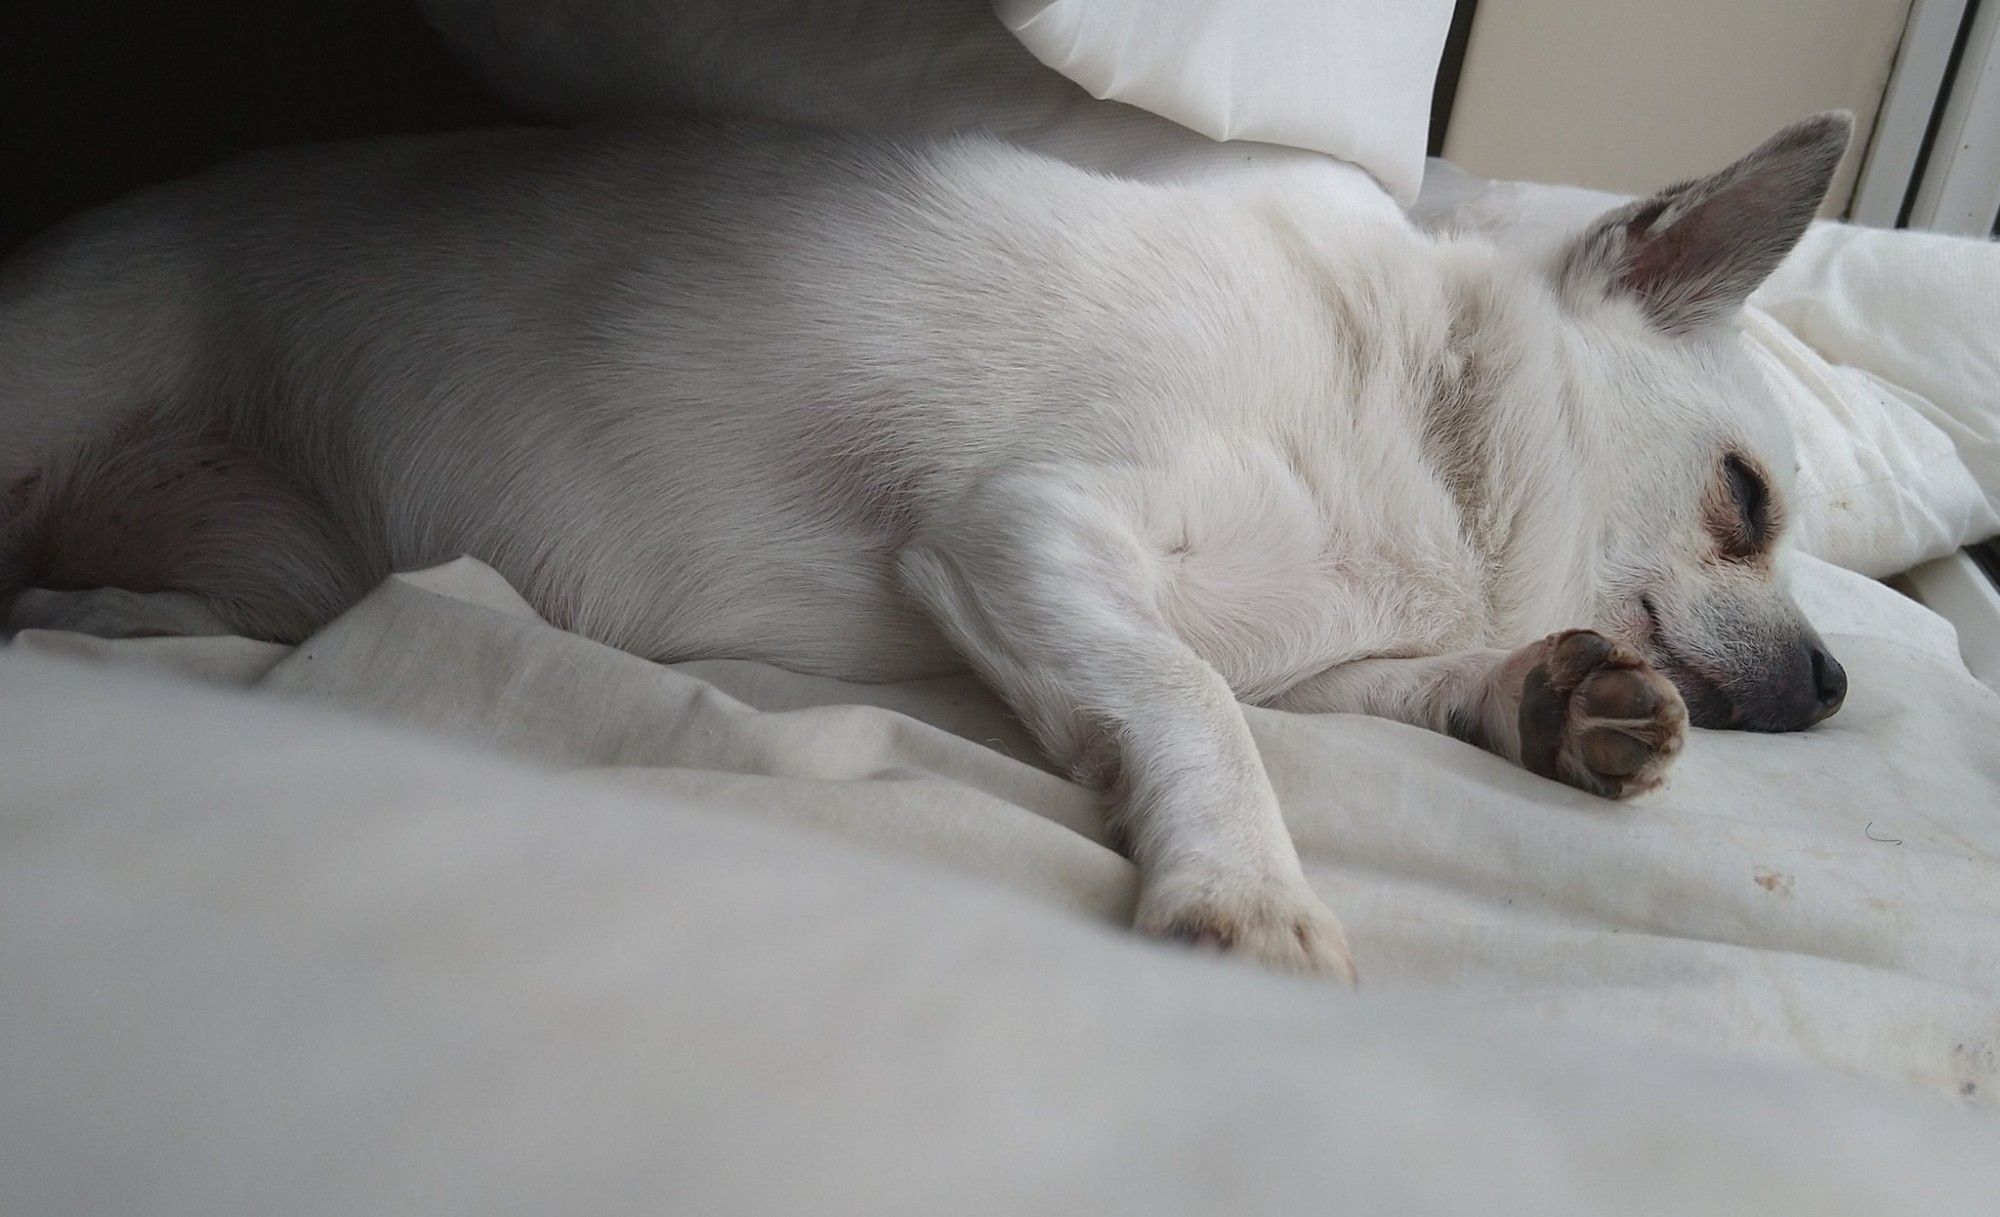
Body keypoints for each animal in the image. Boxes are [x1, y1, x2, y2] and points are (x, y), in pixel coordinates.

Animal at [0, 109, 1848, 972]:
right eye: (1749, 504)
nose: (1839, 686)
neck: (1420, 440)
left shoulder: (1320, 659)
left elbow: (1379, 689)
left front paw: (1549, 694)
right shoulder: (1023, 531)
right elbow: (1199, 707)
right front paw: (1247, 886)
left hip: (264, 573)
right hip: (60, 373)